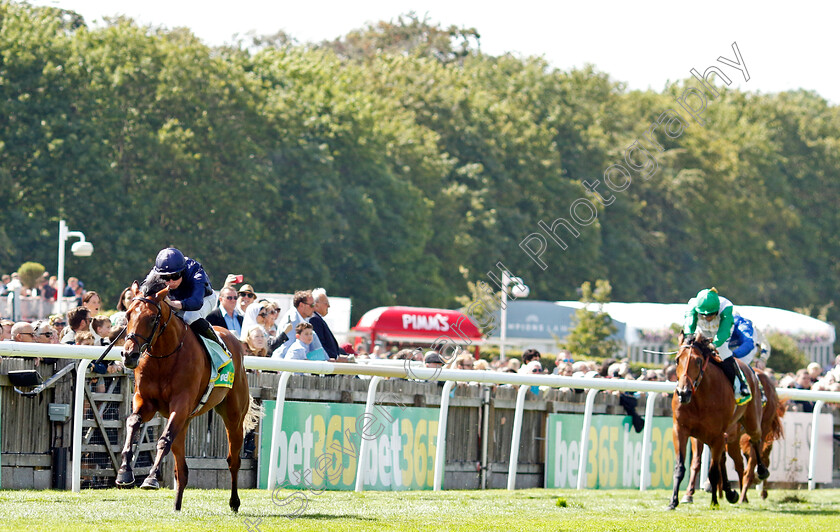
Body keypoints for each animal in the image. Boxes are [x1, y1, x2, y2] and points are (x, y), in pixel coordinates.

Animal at [113, 282, 260, 512]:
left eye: (152, 318)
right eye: (127, 315)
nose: (129, 355)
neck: (163, 356)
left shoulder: (180, 404)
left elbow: (163, 440)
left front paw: (151, 478)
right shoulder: (145, 401)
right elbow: (133, 421)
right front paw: (124, 473)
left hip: (233, 416)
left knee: (233, 460)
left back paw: (234, 502)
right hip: (185, 421)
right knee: (181, 469)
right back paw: (177, 505)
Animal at [668, 332, 768, 512]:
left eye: (698, 360)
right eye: (677, 360)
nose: (683, 392)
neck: (700, 398)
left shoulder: (718, 435)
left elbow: (713, 471)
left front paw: (714, 501)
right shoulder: (681, 430)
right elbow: (680, 467)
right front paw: (673, 502)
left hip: (751, 421)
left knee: (755, 440)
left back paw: (760, 473)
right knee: (726, 459)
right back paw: (730, 492)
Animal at [684, 368, 788, 504]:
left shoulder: (725, 434)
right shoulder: (698, 435)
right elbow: (697, 462)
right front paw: (689, 493)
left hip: (761, 429)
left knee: (753, 463)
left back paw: (747, 493)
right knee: (741, 463)